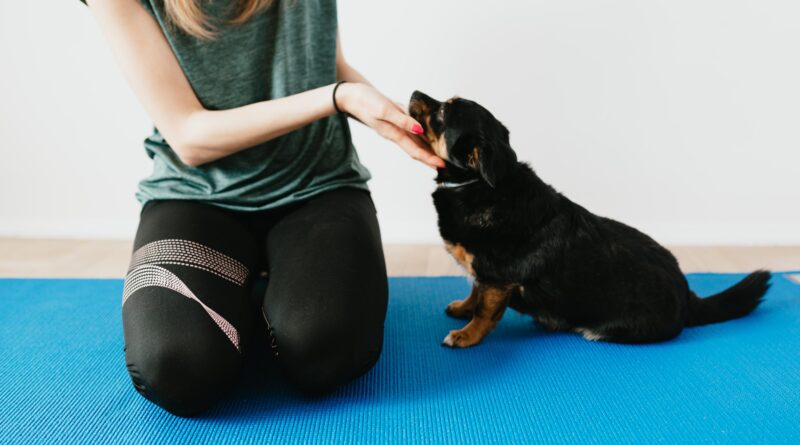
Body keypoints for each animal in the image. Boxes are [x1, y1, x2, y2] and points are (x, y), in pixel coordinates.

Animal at [410, 90, 772, 346]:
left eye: (442, 112)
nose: (414, 91)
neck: (476, 184)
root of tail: (687, 294)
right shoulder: (483, 273)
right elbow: (474, 291)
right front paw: (462, 307)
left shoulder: (498, 279)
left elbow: (485, 310)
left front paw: (467, 334)